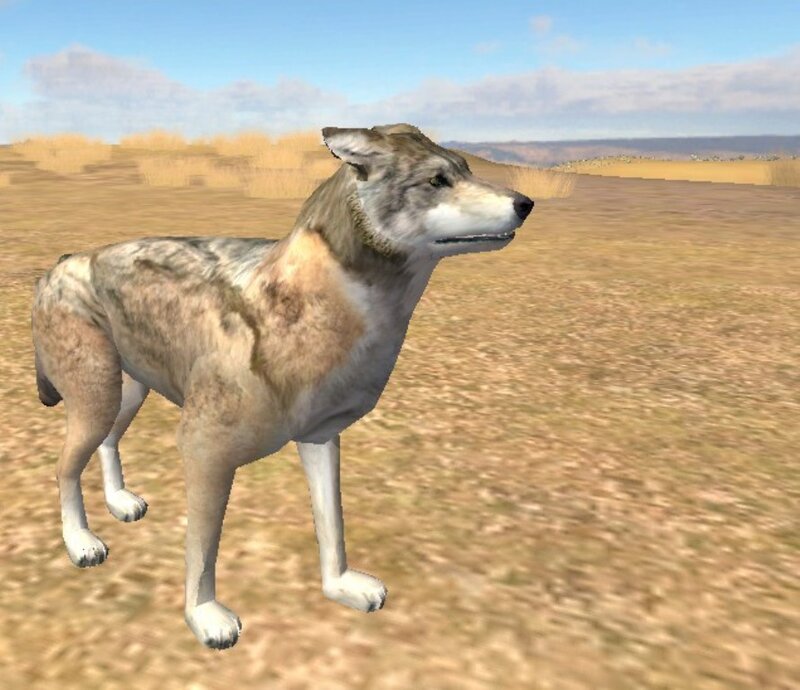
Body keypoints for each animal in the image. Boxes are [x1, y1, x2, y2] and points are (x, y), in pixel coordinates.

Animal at [31, 123, 533, 649]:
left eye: (466, 170)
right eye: (437, 181)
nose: (526, 203)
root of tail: (60, 262)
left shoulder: (319, 439)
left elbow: (332, 528)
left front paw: (341, 587)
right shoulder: (203, 453)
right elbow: (202, 551)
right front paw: (204, 616)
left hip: (124, 395)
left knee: (107, 443)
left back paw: (118, 502)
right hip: (98, 397)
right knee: (64, 468)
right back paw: (81, 542)